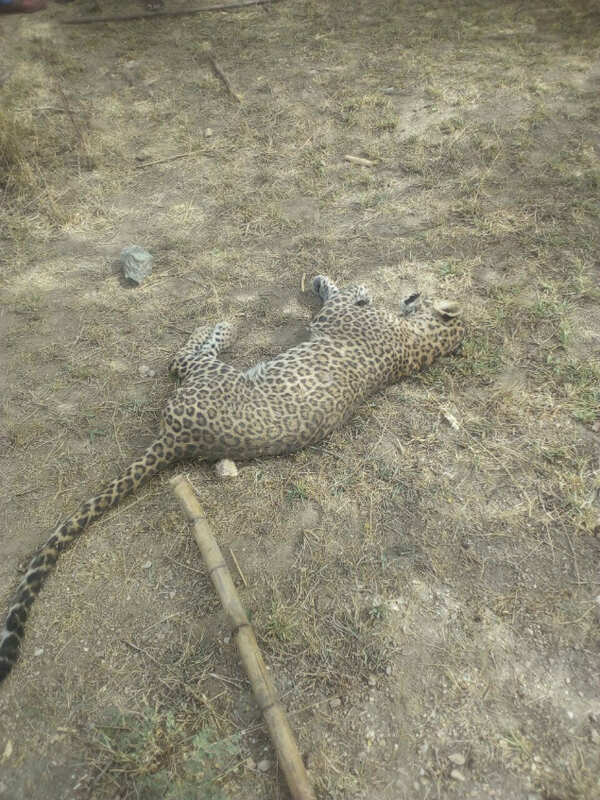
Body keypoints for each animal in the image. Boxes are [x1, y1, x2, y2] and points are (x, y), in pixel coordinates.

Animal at [0, 274, 465, 683]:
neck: (421, 342)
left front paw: (339, 284)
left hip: (210, 374)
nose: (414, 291)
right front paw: (358, 289)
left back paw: (222, 324)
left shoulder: (332, 317)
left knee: (182, 358)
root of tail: (178, 441)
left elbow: (340, 292)